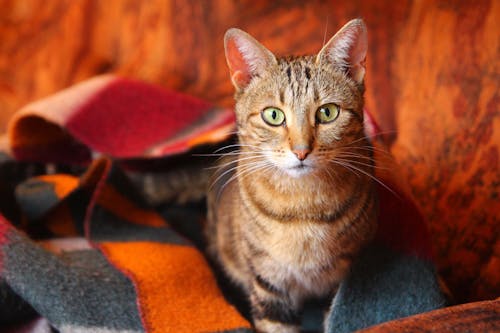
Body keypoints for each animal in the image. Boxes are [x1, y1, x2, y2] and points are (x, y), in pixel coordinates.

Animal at [205, 18, 376, 332]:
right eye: (273, 115)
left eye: (328, 112)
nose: (301, 151)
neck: (303, 207)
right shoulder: (268, 281)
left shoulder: (343, 275)